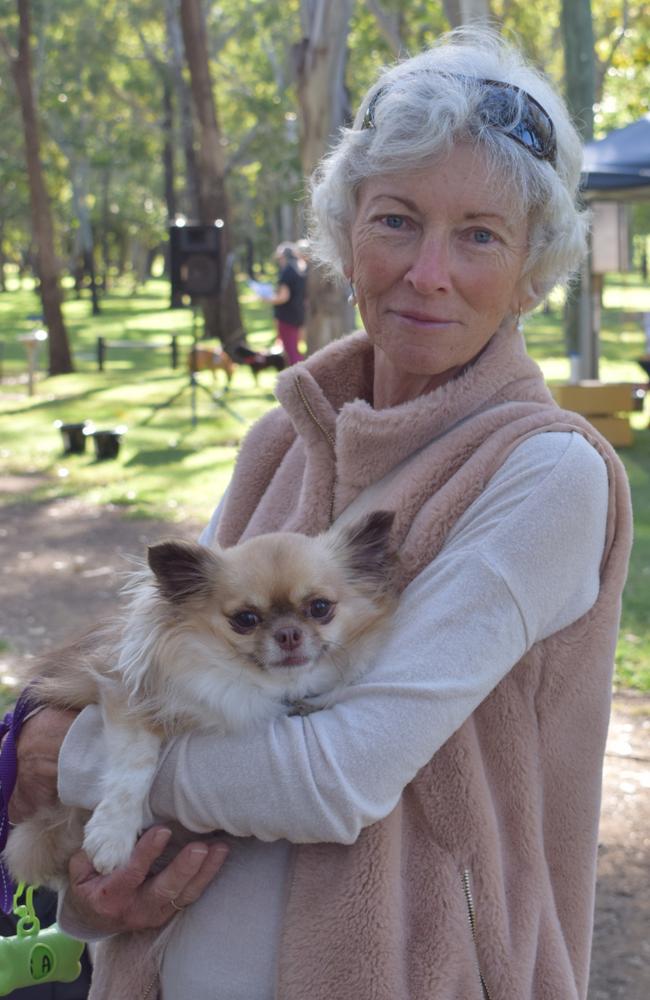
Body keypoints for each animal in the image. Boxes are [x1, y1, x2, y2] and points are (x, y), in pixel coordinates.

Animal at [3, 512, 394, 888]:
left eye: (320, 608)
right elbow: (133, 766)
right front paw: (112, 836)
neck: (246, 682)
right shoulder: (124, 694)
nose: (288, 634)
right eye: (246, 619)